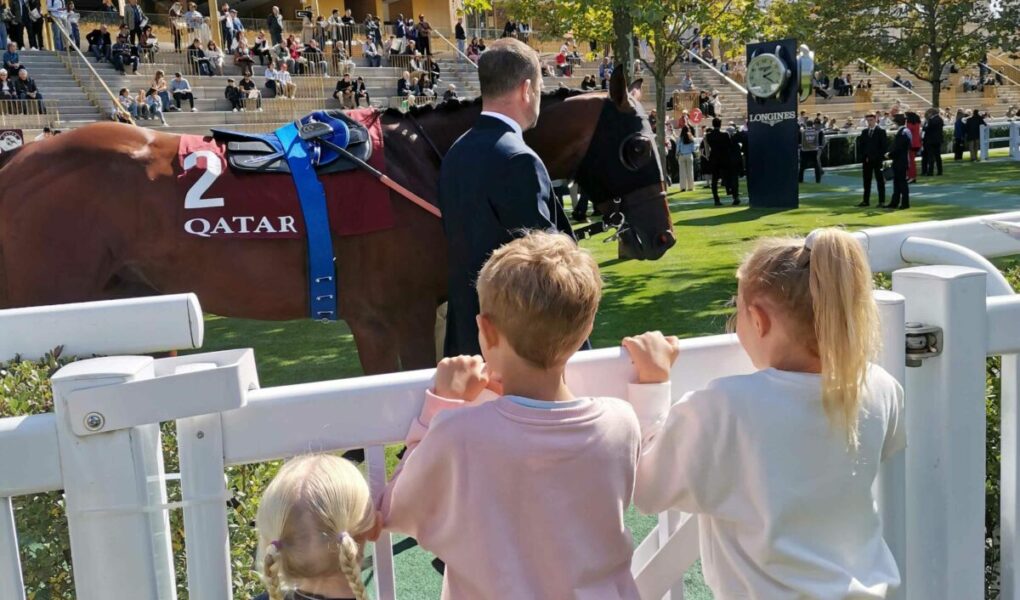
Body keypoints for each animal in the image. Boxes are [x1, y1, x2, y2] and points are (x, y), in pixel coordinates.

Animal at [1, 69, 677, 375]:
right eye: (636, 147)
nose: (661, 237)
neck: (422, 161)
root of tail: (16, 159)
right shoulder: (398, 314)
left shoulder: (389, 318)